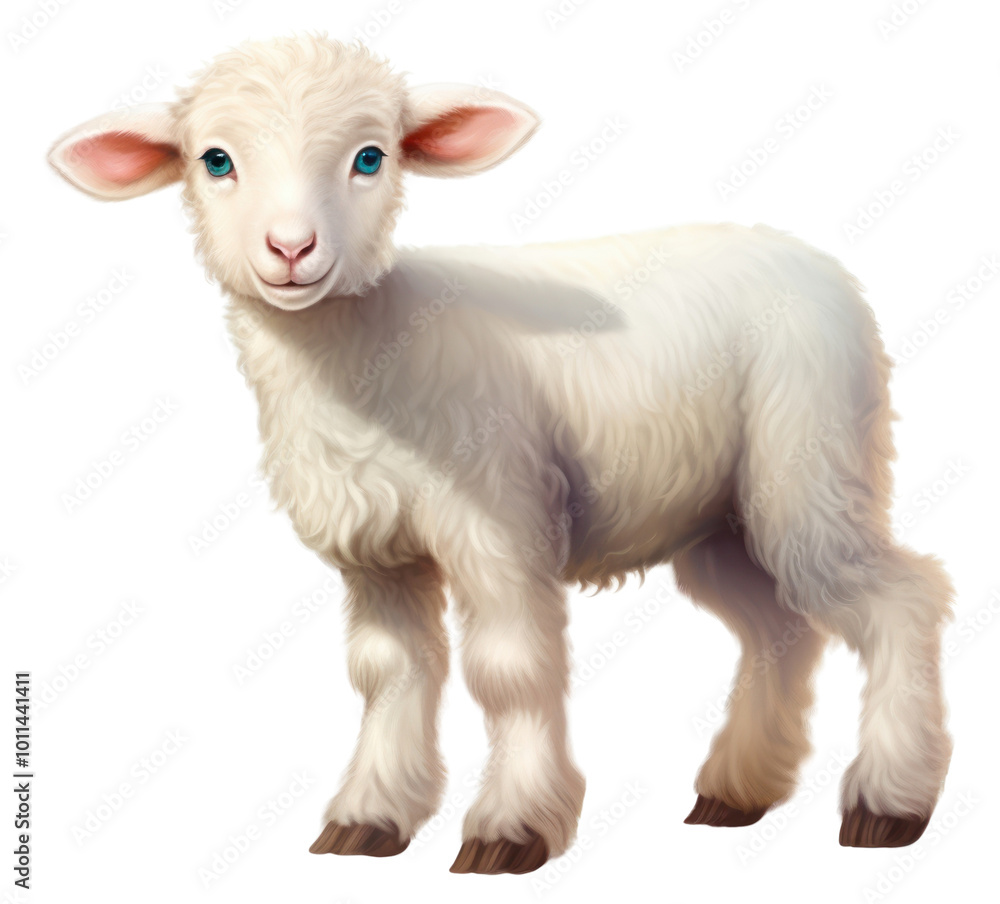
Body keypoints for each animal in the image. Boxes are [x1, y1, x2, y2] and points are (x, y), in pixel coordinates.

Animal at [49, 34, 954, 874]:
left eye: (371, 157)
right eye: (216, 160)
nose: (291, 249)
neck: (370, 351)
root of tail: (818, 263)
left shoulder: (498, 519)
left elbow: (508, 670)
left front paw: (510, 828)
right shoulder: (377, 552)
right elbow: (389, 672)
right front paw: (369, 819)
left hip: (810, 457)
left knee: (896, 597)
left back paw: (889, 803)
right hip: (720, 515)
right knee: (778, 628)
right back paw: (736, 792)